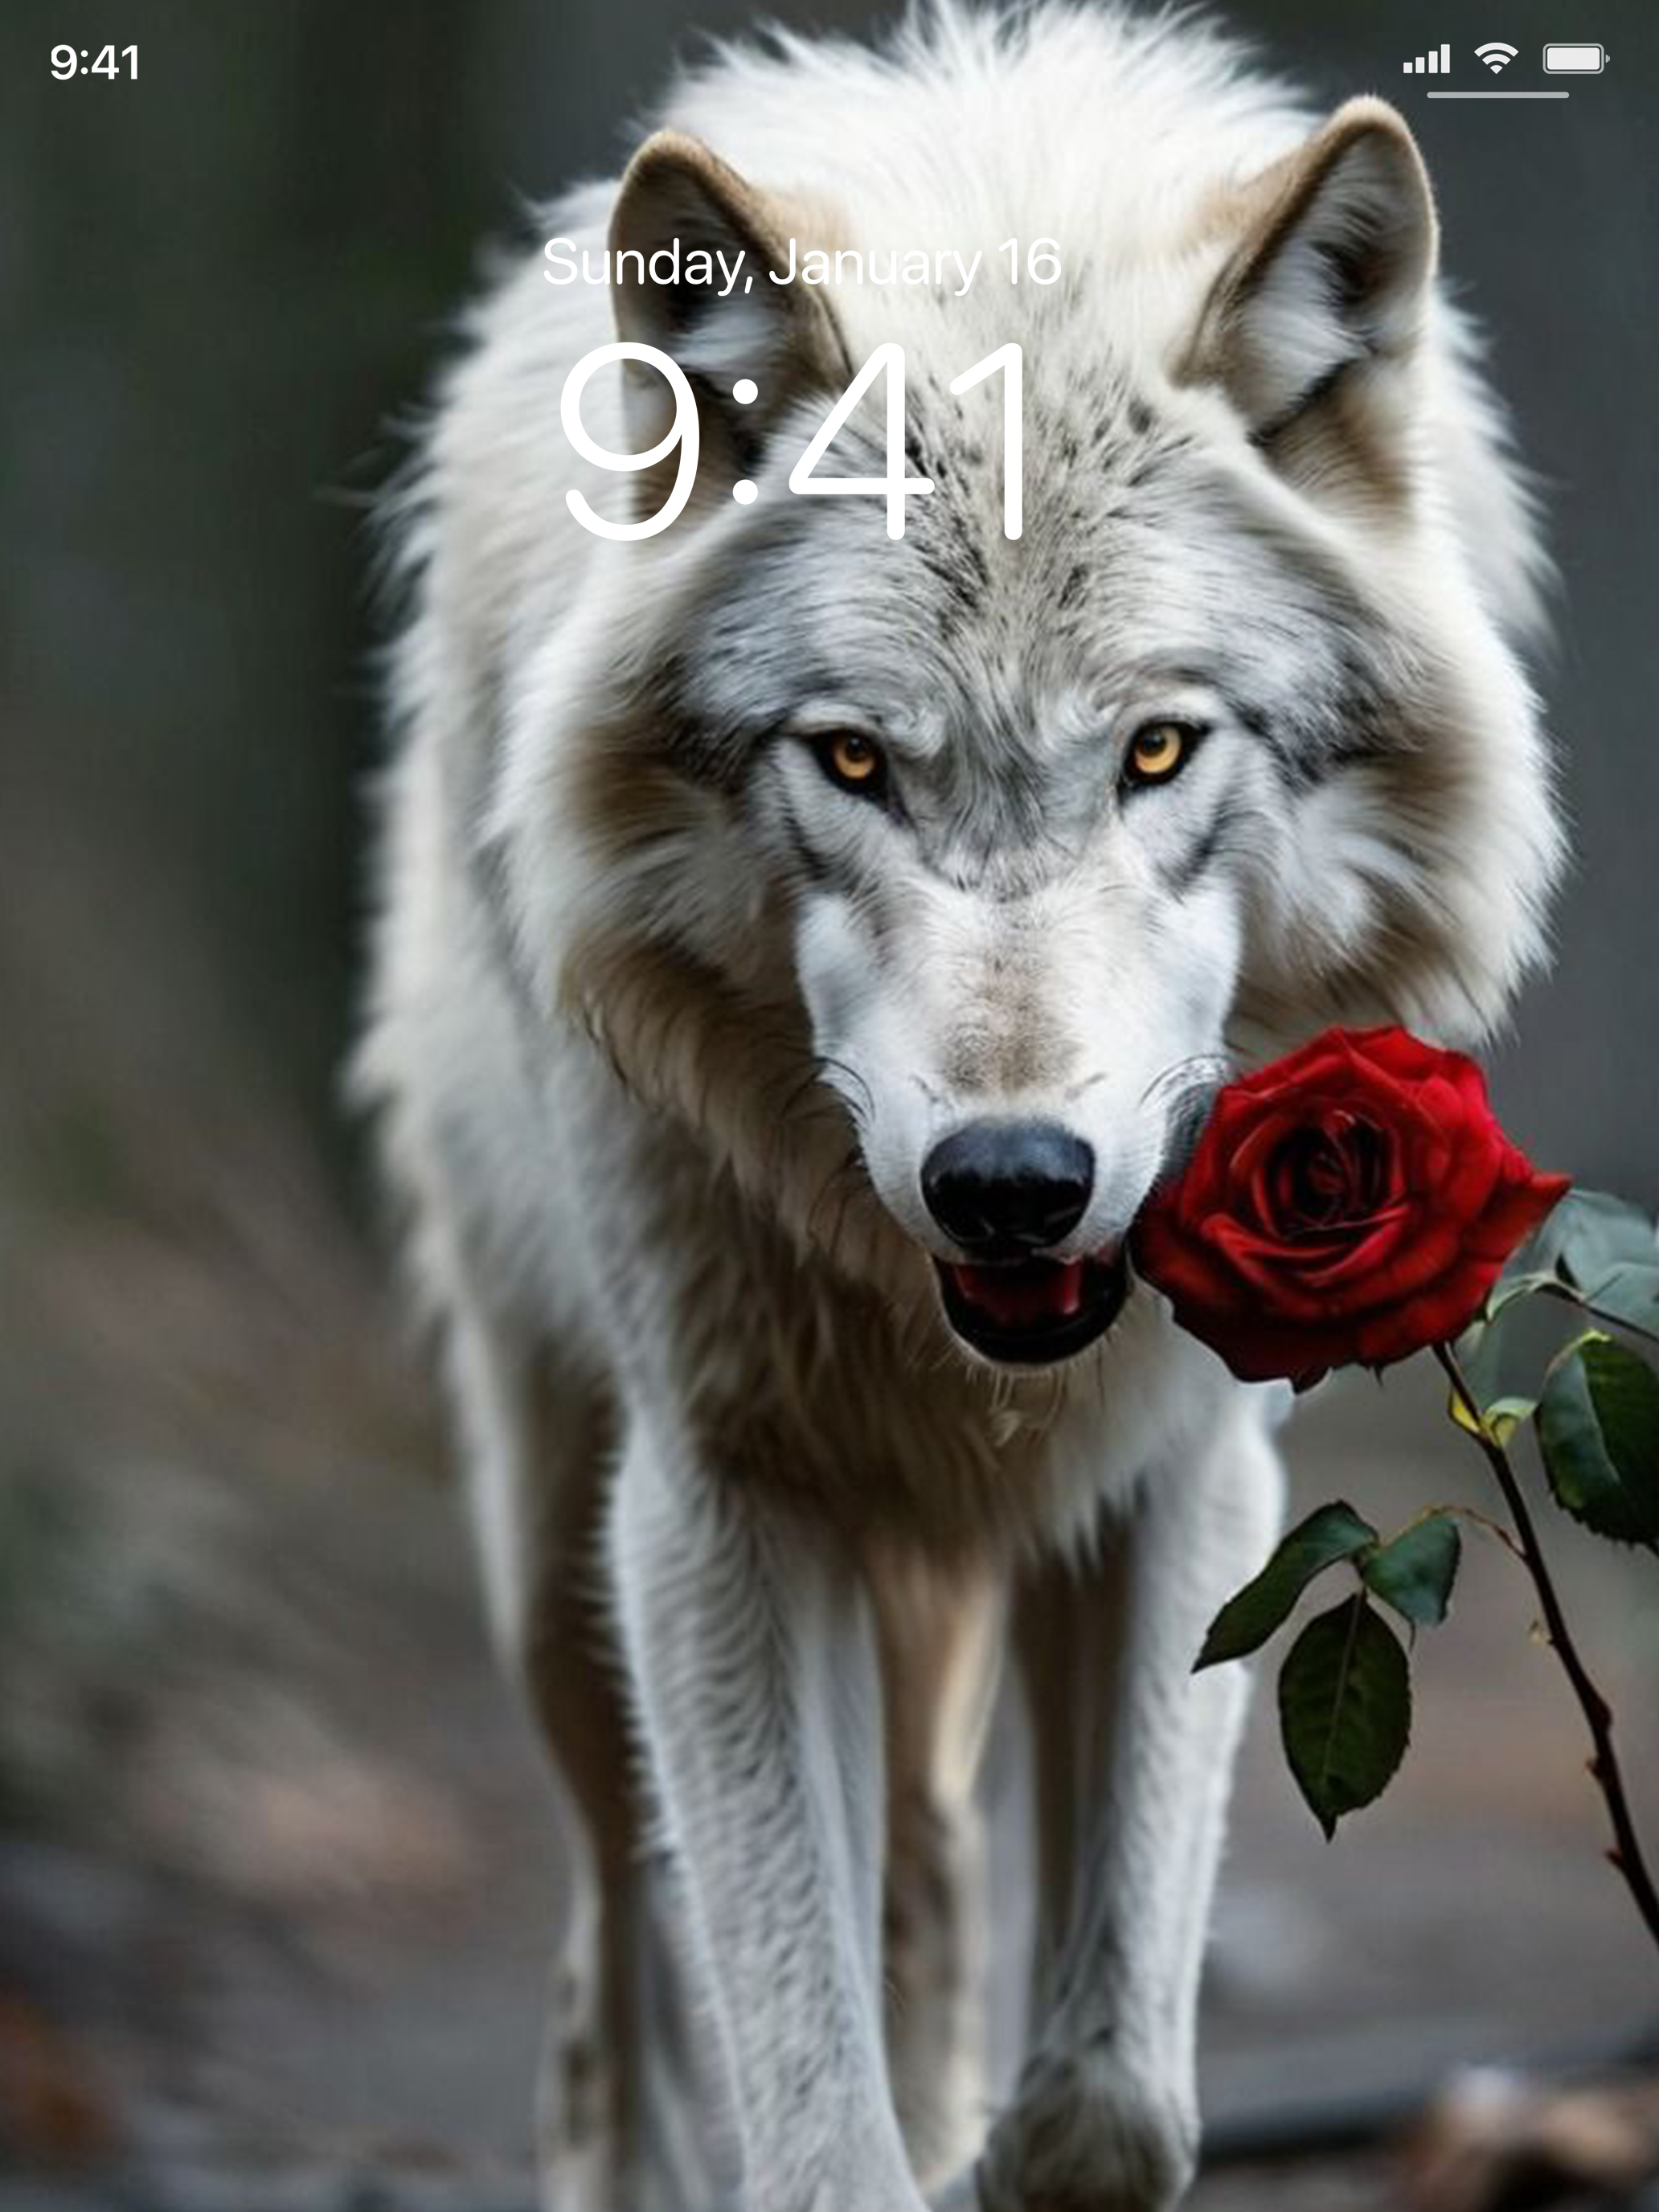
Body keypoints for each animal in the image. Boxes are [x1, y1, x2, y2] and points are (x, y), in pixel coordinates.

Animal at [355, 6, 1562, 2207]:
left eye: (1158, 748)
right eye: (851, 760)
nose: (1010, 1184)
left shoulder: (1187, 1474)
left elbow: (1110, 2098)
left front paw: (1007, 2153)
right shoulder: (723, 1504)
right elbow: (802, 2091)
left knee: (922, 1872)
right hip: (556, 1558)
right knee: (608, 1961)